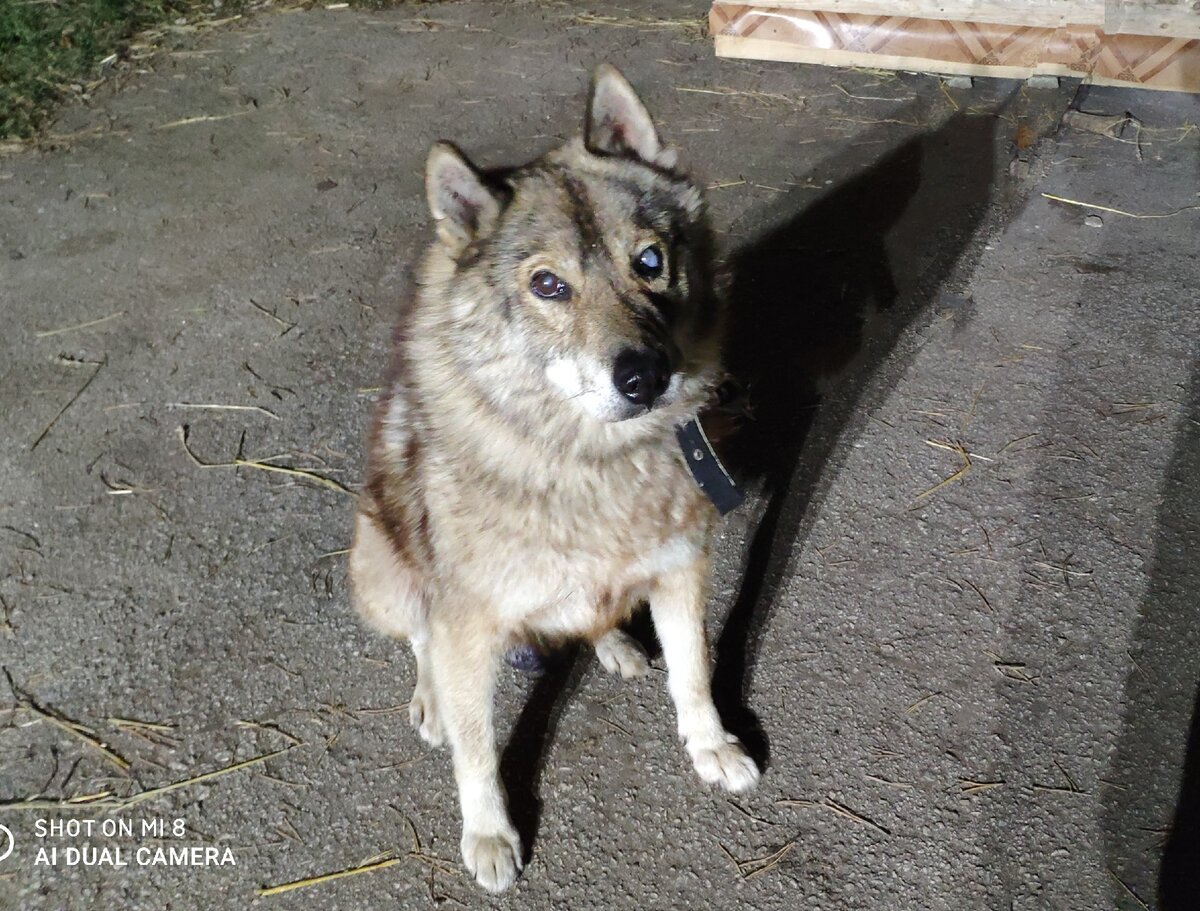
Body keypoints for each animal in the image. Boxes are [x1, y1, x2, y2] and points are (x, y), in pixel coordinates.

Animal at [350, 64, 758, 892]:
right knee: (419, 639)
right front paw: (489, 833)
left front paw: (712, 745)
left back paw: (617, 644)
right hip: (379, 562)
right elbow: (477, 750)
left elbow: (695, 673)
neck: (590, 460)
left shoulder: (681, 571)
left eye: (649, 261)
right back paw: (431, 700)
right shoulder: (468, 622)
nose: (644, 376)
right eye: (548, 285)